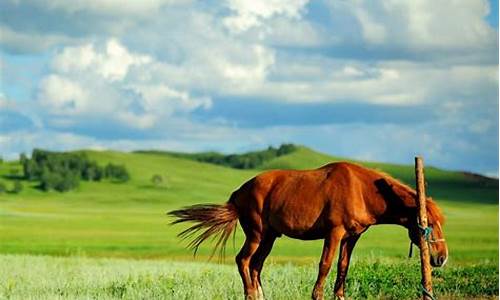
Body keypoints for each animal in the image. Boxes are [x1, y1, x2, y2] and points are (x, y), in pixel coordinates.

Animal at [170, 163, 448, 298]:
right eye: (429, 223)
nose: (442, 258)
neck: (361, 189)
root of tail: (239, 192)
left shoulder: (352, 237)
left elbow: (343, 267)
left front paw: (339, 296)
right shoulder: (334, 233)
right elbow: (325, 265)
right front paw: (317, 295)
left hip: (270, 237)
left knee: (256, 266)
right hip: (256, 235)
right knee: (243, 261)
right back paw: (249, 295)